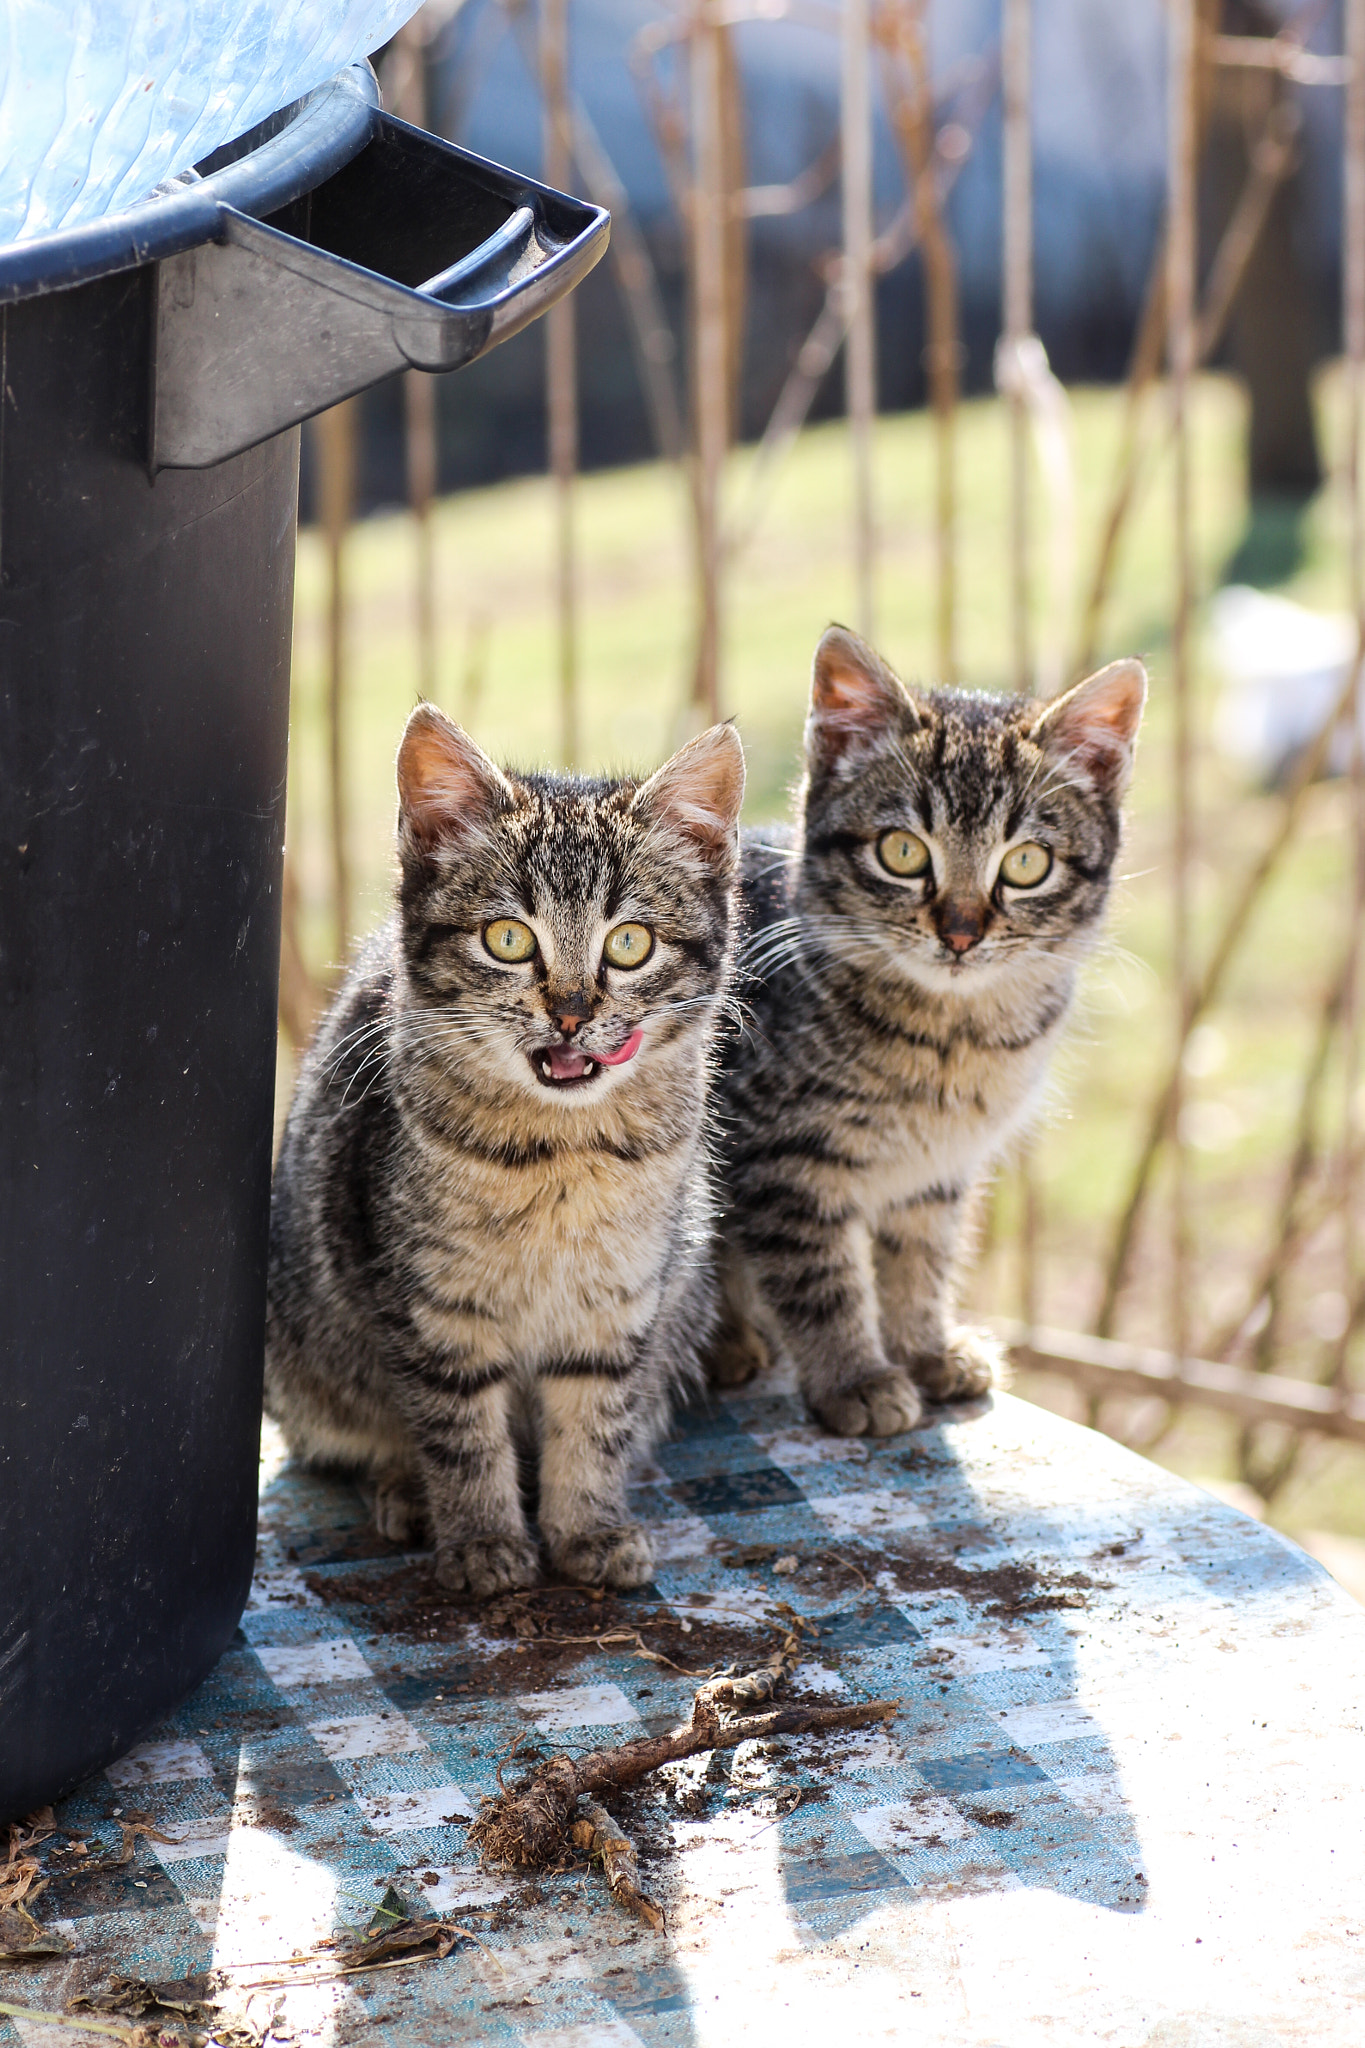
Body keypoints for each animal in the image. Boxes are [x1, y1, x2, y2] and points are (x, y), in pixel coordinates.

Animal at [716, 626, 1146, 1441]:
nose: (961, 933)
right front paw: (854, 1377)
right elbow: (821, 1278)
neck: (949, 1038)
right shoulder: (782, 1162)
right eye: (903, 851)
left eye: (1027, 863)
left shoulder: (937, 1170)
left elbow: (920, 1260)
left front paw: (923, 1348)